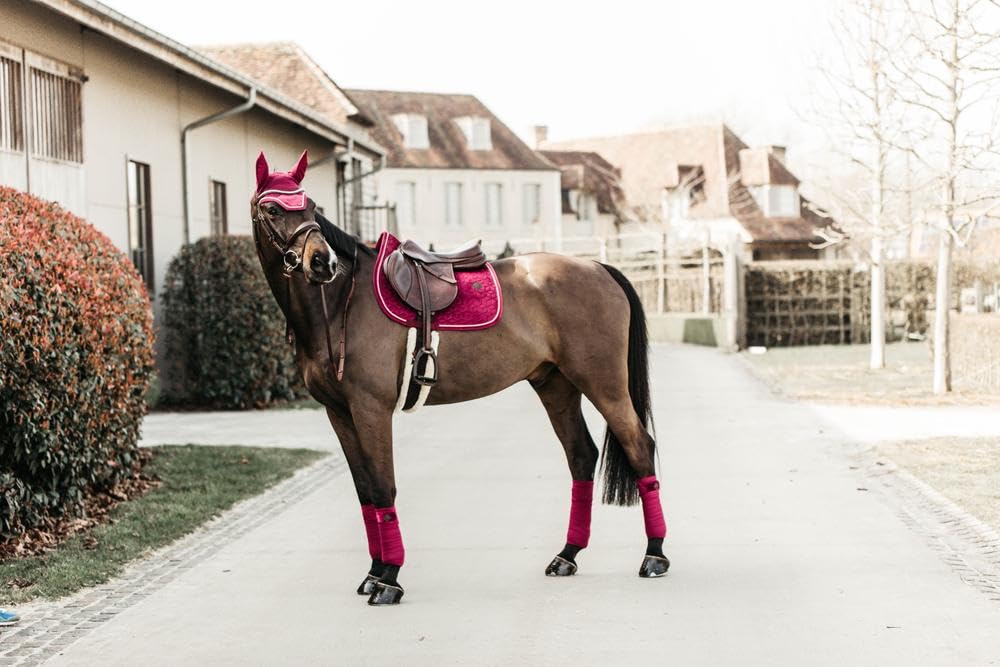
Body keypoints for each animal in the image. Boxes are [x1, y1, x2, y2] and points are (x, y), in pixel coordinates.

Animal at [250, 151, 669, 605]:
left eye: (310, 207)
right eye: (273, 209)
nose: (321, 262)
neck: (342, 302)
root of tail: (598, 267)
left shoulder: (371, 410)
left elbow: (383, 487)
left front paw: (389, 578)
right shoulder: (339, 413)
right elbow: (366, 491)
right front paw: (375, 572)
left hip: (604, 385)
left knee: (639, 447)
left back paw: (655, 555)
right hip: (557, 387)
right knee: (581, 456)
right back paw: (567, 555)